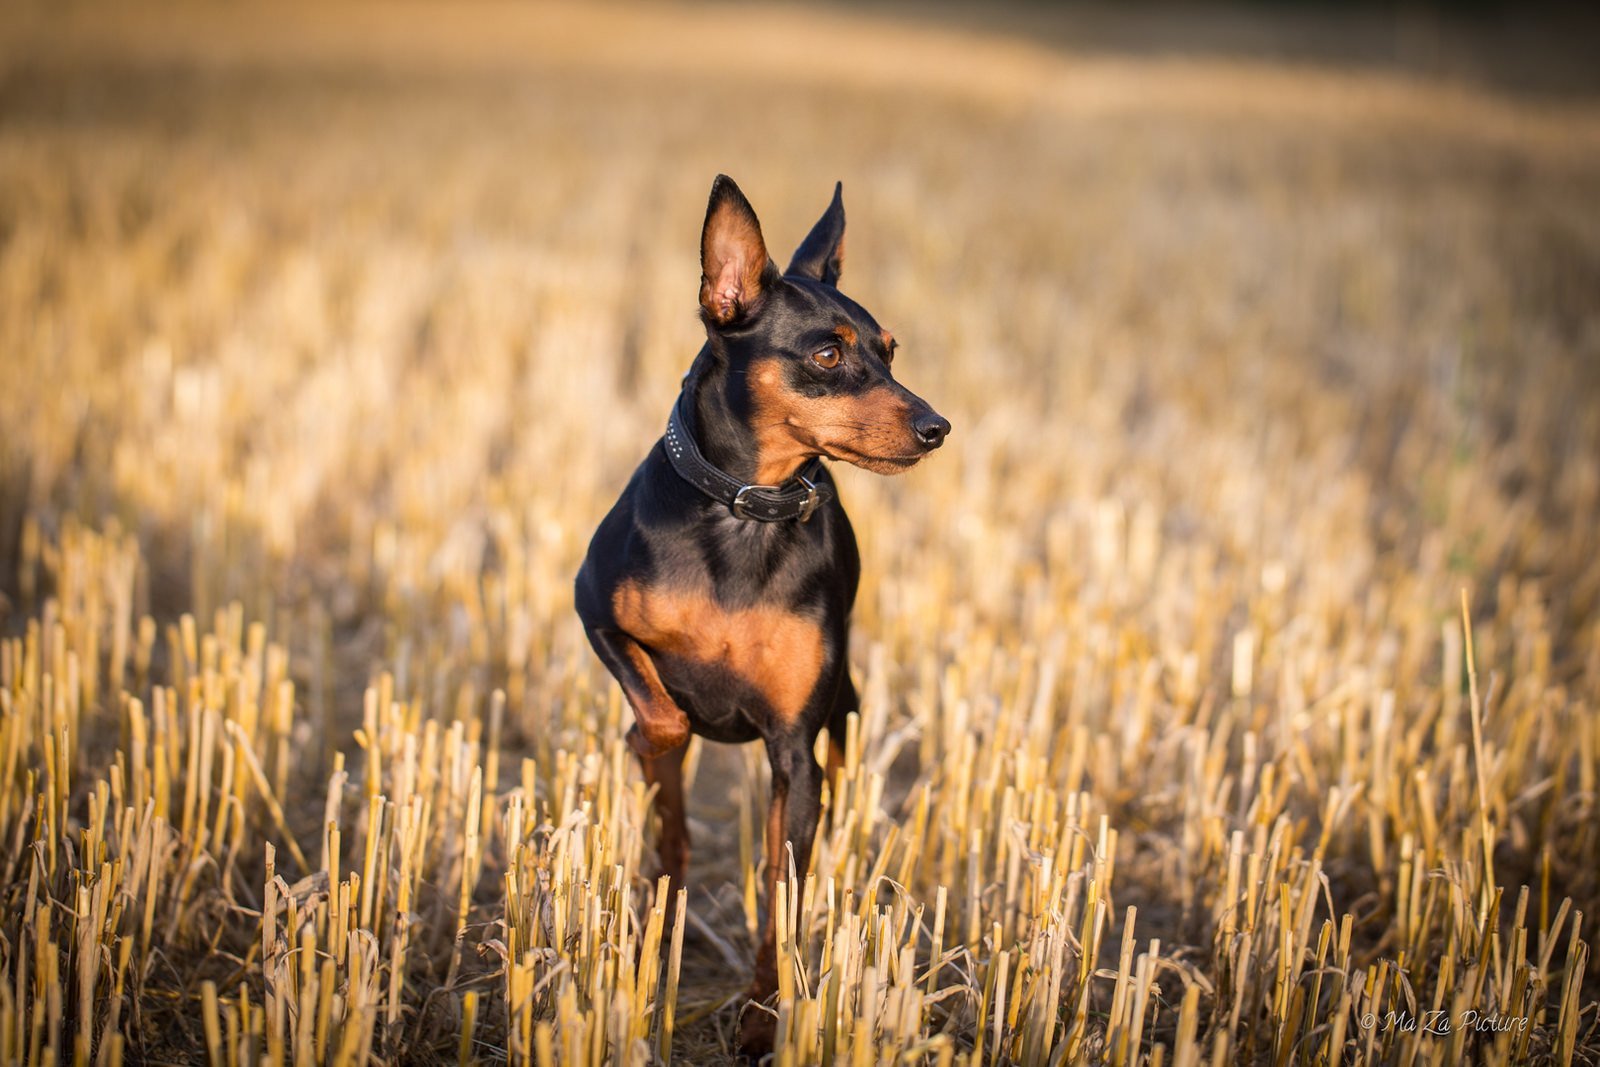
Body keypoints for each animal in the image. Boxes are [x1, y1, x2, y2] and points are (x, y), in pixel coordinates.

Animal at [576, 175, 947, 1062]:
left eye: (890, 348)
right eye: (827, 354)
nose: (937, 427)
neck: (747, 511)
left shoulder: (794, 751)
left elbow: (783, 893)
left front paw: (760, 1019)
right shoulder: (593, 607)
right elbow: (659, 714)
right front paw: (656, 731)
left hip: (844, 719)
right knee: (669, 823)